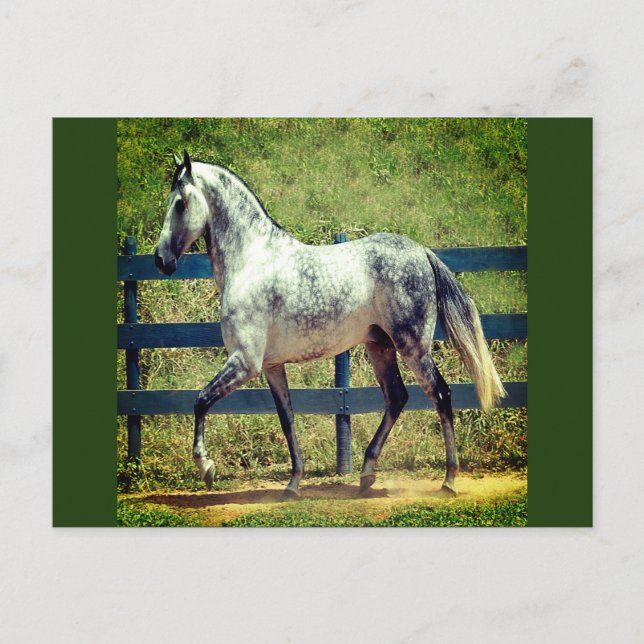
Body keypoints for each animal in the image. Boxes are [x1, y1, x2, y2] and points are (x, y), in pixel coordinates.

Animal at [154, 151, 506, 497]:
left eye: (180, 203)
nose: (161, 260)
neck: (251, 261)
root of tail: (422, 252)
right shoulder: (270, 366)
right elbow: (287, 418)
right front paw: (293, 484)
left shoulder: (245, 362)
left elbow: (201, 400)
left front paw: (207, 468)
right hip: (380, 347)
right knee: (396, 397)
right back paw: (366, 475)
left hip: (413, 347)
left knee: (441, 395)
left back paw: (448, 480)